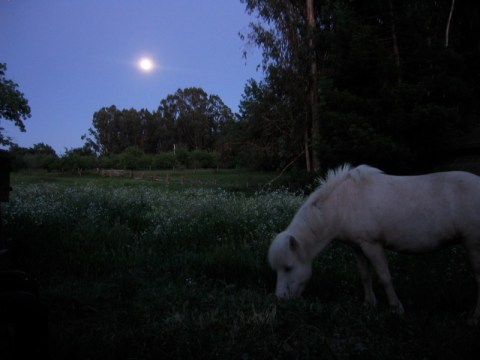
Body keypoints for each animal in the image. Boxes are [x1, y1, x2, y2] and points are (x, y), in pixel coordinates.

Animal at [270, 165, 480, 324]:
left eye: (288, 268)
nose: (280, 300)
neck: (342, 203)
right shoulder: (357, 246)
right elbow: (365, 275)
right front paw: (369, 304)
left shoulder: (372, 245)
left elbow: (384, 277)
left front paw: (396, 309)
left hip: (474, 246)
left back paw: (474, 318)